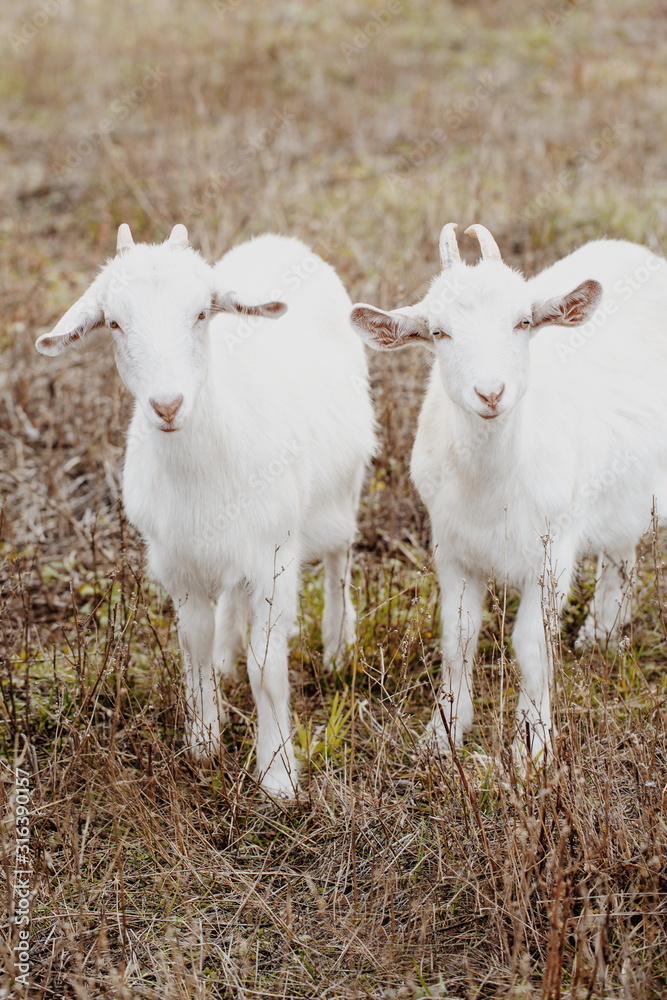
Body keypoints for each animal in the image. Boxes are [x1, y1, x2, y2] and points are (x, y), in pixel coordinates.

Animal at [36, 223, 376, 796]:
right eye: (114, 322)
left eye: (200, 314)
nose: (167, 405)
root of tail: (280, 241)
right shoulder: (179, 563)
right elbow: (191, 646)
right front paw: (203, 744)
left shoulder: (274, 558)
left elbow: (267, 667)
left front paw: (278, 776)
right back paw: (226, 658)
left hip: (342, 489)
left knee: (339, 560)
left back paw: (337, 649)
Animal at [350, 222, 667, 755]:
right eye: (438, 332)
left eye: (523, 322)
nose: (491, 393)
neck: (492, 487)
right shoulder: (450, 546)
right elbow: (458, 636)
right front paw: (442, 734)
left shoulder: (553, 550)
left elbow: (532, 645)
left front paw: (533, 744)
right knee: (621, 549)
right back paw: (601, 633)